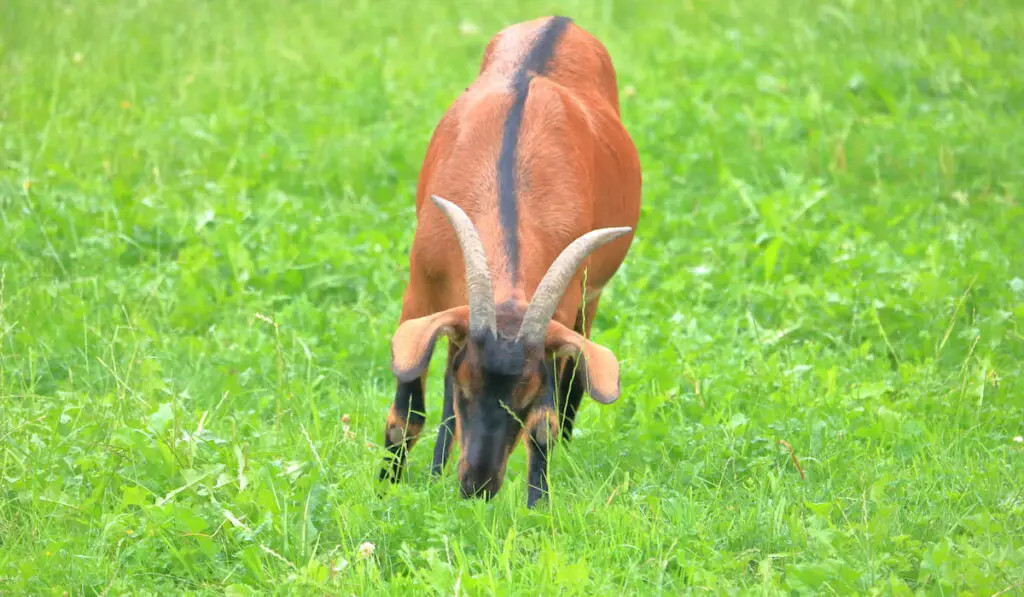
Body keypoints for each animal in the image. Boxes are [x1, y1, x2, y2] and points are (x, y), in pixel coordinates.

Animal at [380, 14, 643, 507]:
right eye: (467, 387)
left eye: (524, 398)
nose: (477, 486)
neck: (506, 185)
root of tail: (561, 20)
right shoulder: (421, 289)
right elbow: (408, 411)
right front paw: (386, 491)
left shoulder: (561, 312)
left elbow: (545, 422)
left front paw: (539, 506)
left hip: (589, 300)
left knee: (576, 376)